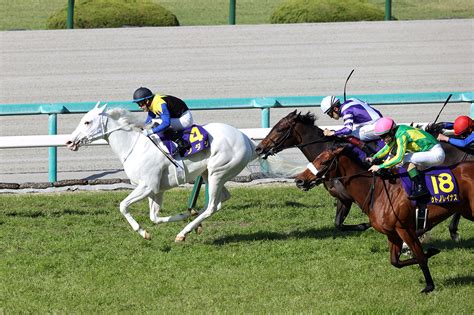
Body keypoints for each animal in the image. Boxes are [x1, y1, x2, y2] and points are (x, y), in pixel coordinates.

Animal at [66, 103, 256, 242]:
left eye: (87, 122)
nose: (69, 141)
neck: (133, 147)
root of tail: (246, 138)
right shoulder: (156, 190)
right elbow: (154, 217)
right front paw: (184, 214)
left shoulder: (147, 186)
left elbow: (123, 206)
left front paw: (143, 232)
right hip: (208, 173)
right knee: (220, 200)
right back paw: (193, 222)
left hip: (218, 172)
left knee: (212, 206)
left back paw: (183, 233)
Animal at [294, 146, 472, 294]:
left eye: (324, 161)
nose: (299, 180)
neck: (379, 192)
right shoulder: (392, 234)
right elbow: (395, 262)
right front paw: (431, 251)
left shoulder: (404, 229)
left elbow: (420, 256)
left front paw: (429, 286)